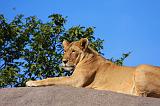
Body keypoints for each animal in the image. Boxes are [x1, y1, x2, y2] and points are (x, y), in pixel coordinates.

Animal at [25, 38, 160, 97]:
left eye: (73, 51)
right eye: (65, 51)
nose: (64, 61)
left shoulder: (75, 81)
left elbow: (53, 79)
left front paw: (31, 82)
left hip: (141, 68)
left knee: (142, 94)